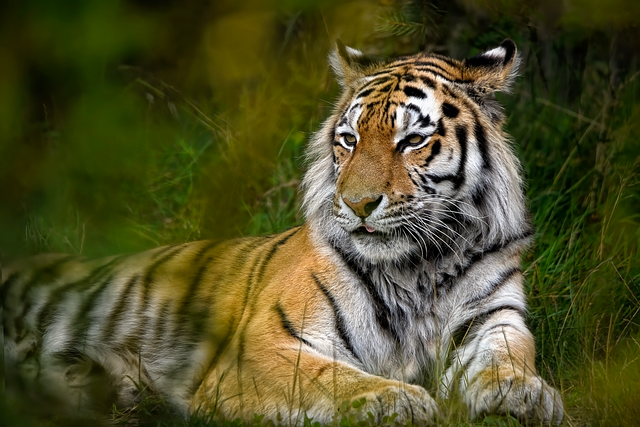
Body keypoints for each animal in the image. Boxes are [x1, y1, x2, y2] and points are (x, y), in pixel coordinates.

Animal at [2, 39, 564, 425]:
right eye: (348, 140)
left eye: (411, 141)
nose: (357, 204)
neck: (418, 266)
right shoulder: (262, 342)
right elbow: (330, 377)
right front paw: (395, 398)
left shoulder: (496, 319)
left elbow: (506, 362)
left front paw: (526, 395)